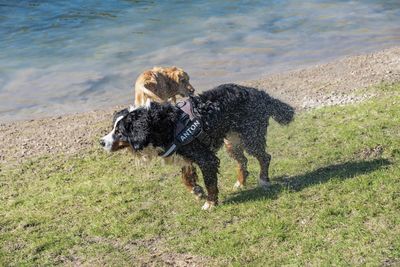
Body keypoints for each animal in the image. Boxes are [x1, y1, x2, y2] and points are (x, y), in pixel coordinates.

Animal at [100, 82, 294, 210]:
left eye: (119, 132)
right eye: (113, 128)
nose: (101, 142)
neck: (165, 125)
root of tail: (261, 94)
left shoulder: (206, 159)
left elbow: (210, 183)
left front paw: (210, 202)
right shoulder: (185, 155)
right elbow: (186, 178)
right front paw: (197, 190)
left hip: (251, 137)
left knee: (264, 157)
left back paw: (263, 180)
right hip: (232, 143)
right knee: (243, 162)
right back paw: (240, 182)